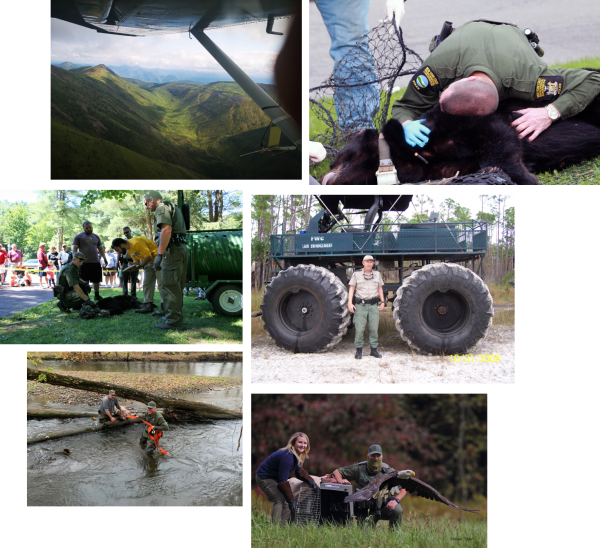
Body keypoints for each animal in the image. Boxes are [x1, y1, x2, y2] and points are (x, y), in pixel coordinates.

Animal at [324, 81, 600, 184]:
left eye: (343, 154)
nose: (325, 176)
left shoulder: (468, 118)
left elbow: (496, 139)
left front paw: (524, 177)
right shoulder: (439, 168)